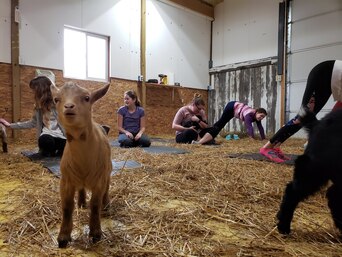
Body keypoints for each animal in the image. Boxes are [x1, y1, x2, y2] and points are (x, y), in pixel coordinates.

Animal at [51, 81, 112, 246]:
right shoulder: (66, 180)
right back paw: (81, 201)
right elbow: (66, 207)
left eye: (86, 98)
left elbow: (95, 205)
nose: (69, 107)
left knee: (107, 187)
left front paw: (95, 233)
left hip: (108, 170)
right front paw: (63, 236)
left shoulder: (99, 179)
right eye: (56, 99)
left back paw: (106, 204)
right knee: (81, 188)